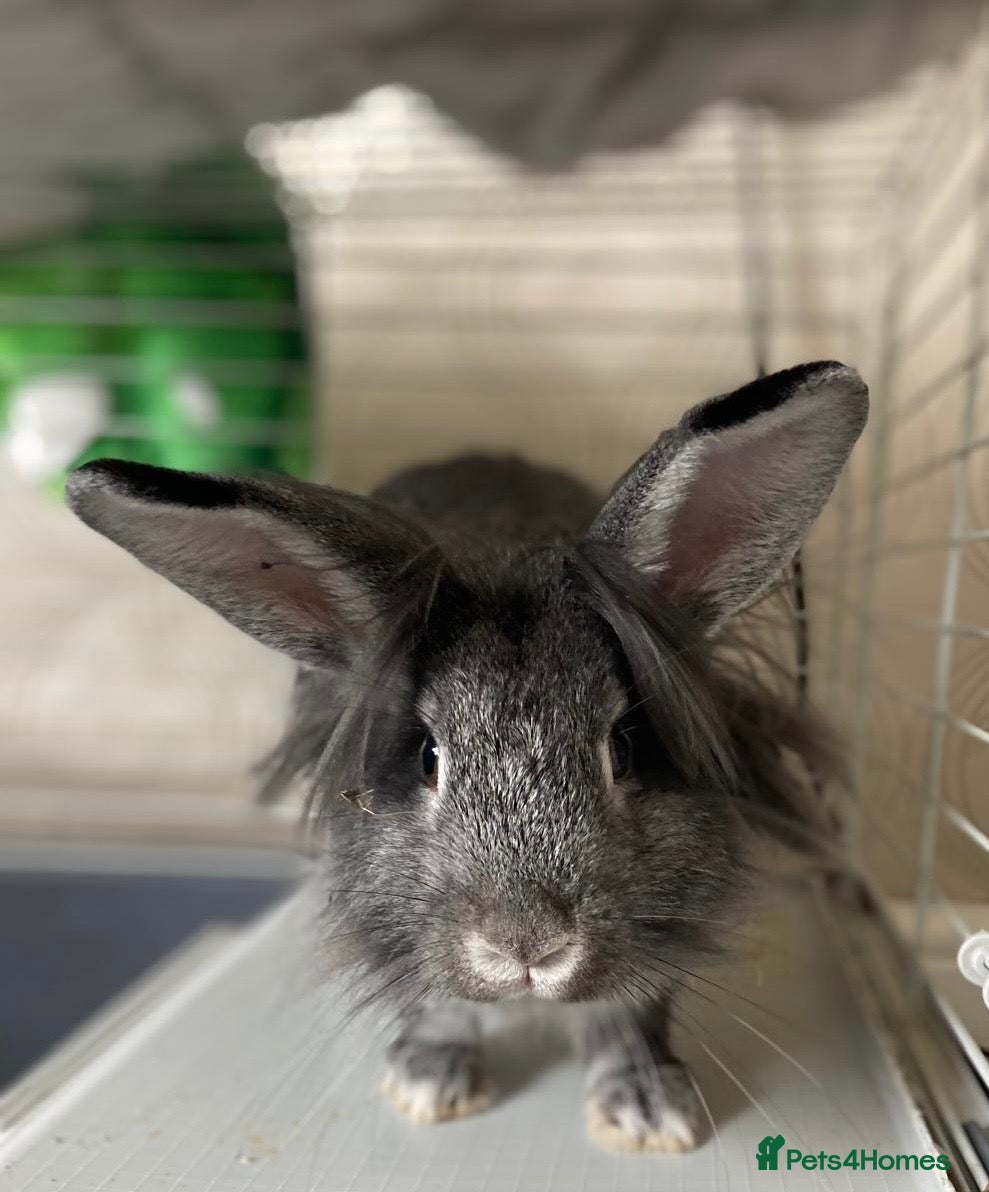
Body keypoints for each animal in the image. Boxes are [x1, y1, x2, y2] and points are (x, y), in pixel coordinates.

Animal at [66, 360, 868, 1154]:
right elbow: (439, 1007)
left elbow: (624, 1020)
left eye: (622, 748)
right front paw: (428, 1088)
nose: (527, 946)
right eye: (428, 756)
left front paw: (647, 1112)